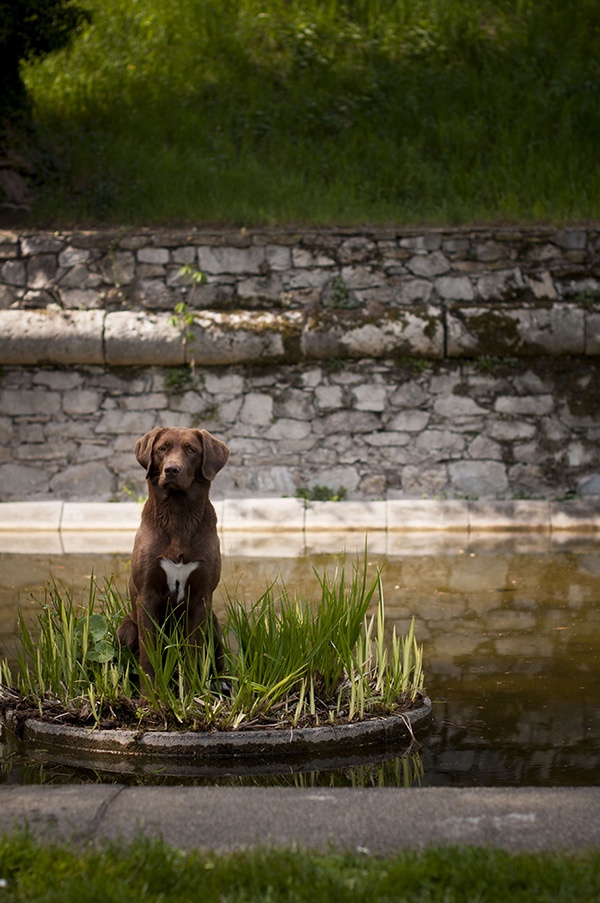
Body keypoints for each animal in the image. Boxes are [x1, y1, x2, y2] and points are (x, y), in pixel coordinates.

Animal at [116, 430, 230, 684]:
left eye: (191, 450)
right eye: (162, 449)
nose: (171, 469)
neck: (178, 513)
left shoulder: (200, 598)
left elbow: (193, 654)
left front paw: (191, 690)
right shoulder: (147, 596)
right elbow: (148, 657)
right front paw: (150, 694)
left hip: (214, 625)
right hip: (126, 628)